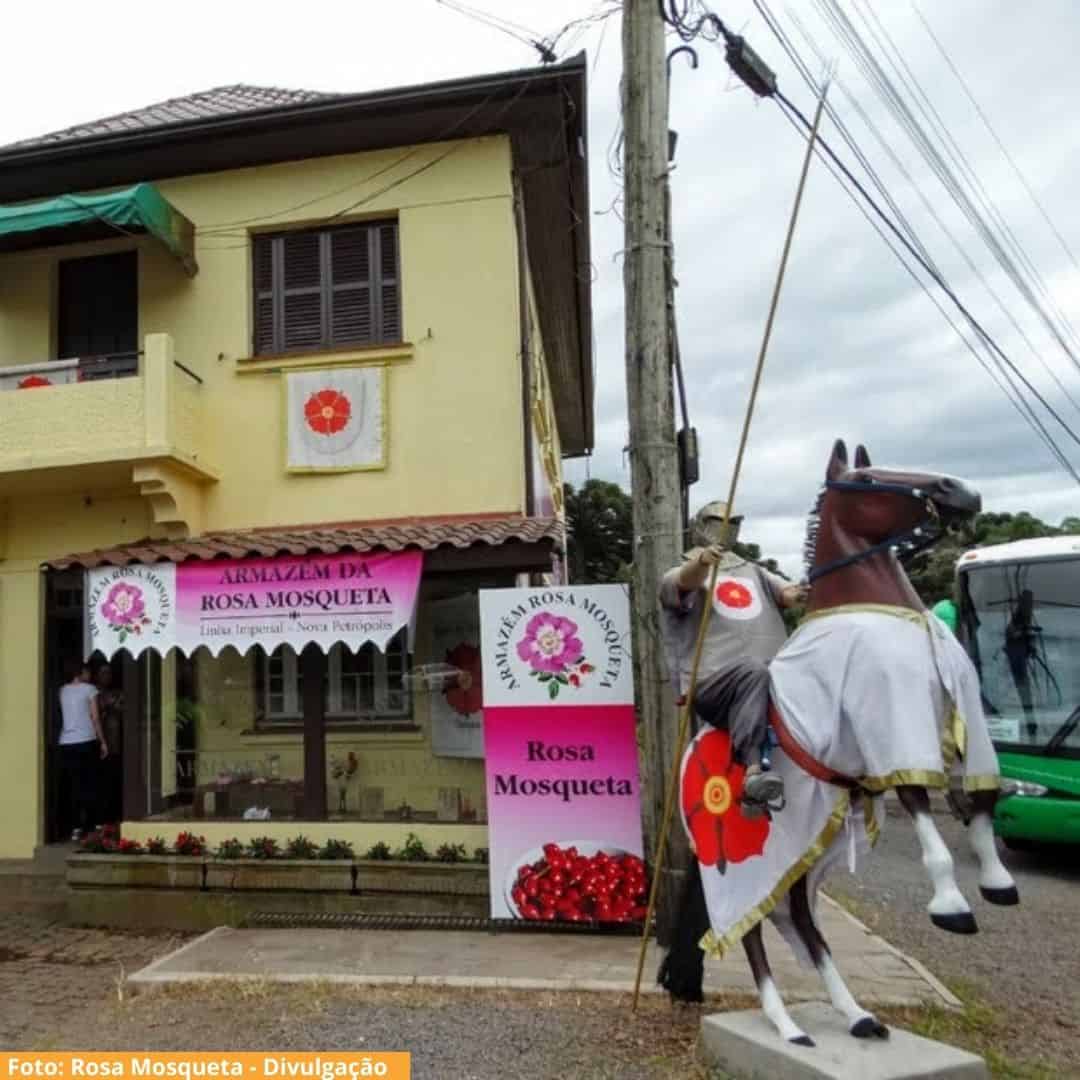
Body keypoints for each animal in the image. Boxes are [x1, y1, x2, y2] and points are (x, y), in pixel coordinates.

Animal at [656, 436, 1019, 1045]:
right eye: (868, 479)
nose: (959, 492)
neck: (884, 611)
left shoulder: (961, 711)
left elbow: (981, 793)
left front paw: (997, 881)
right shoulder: (890, 726)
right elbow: (920, 802)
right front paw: (951, 905)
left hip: (800, 856)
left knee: (800, 920)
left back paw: (856, 1014)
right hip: (745, 864)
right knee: (749, 930)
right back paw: (786, 1026)